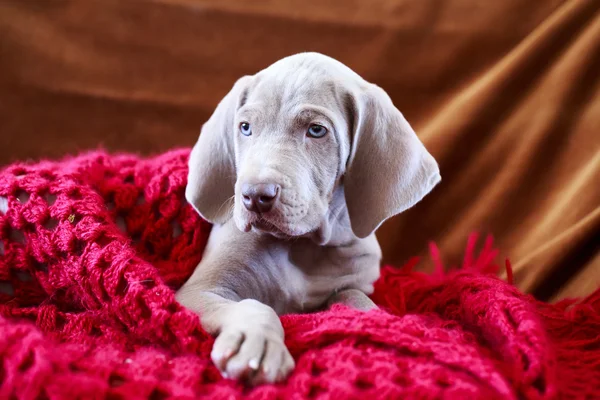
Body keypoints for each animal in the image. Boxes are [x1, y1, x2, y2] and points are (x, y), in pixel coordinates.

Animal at [175, 52, 440, 384]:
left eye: (316, 130)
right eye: (245, 128)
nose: (255, 196)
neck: (303, 245)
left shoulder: (354, 279)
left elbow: (355, 296)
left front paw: (377, 320)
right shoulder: (198, 292)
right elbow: (254, 306)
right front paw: (257, 344)